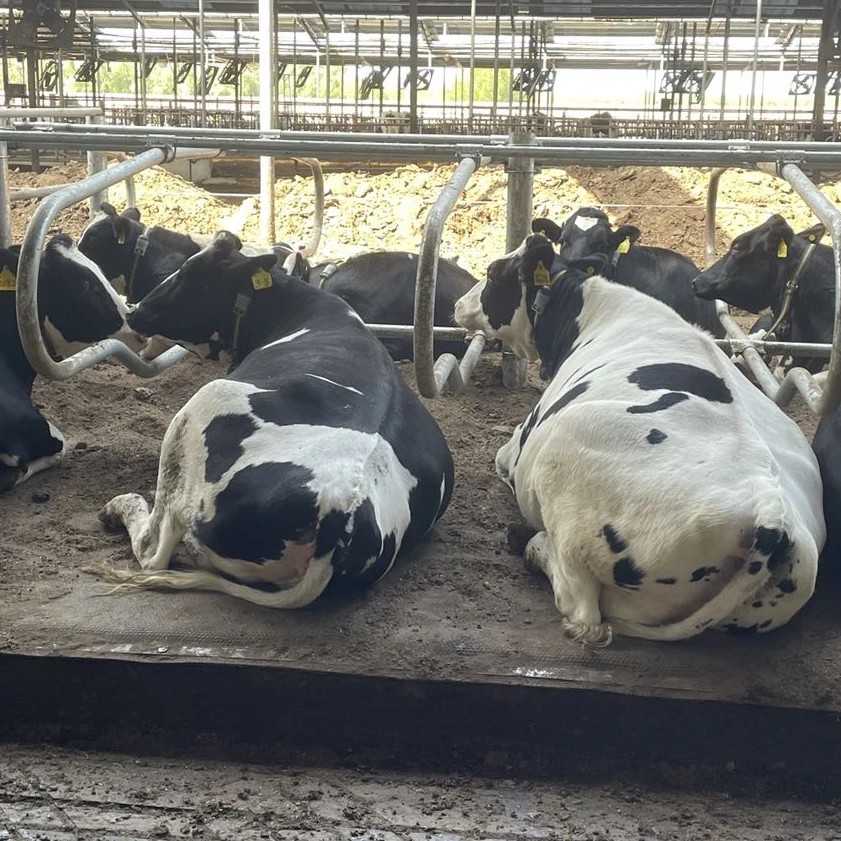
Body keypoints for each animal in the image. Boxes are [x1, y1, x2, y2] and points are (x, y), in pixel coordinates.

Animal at [95, 231, 454, 608]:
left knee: (155, 547)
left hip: (202, 405)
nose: (135, 311)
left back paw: (120, 507)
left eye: (189, 274)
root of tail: (342, 507)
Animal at [453, 234, 824, 643]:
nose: (457, 304)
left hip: (567, 454)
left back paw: (532, 545)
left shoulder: (516, 448)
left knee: (582, 610)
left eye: (492, 272)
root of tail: (771, 516)